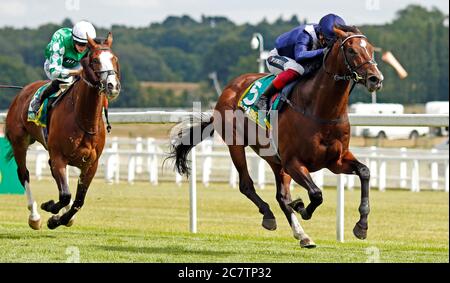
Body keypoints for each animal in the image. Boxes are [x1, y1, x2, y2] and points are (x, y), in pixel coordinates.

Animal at [3, 32, 119, 231]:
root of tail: (22, 92)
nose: (112, 85)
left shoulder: (91, 164)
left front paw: (60, 218)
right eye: (95, 60)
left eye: (115, 59)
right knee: (24, 174)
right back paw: (34, 217)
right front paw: (50, 209)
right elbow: (65, 196)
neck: (83, 119)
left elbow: (78, 201)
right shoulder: (59, 156)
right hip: (19, 142)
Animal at [169, 26, 384, 248]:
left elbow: (365, 172)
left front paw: (362, 225)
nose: (375, 79)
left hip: (274, 158)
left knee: (281, 196)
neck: (321, 110)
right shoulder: (293, 162)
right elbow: (316, 194)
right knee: (247, 185)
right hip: (237, 145)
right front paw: (301, 206)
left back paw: (302, 235)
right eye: (351, 50)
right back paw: (269, 216)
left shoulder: (336, 161)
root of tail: (228, 90)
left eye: (370, 49)